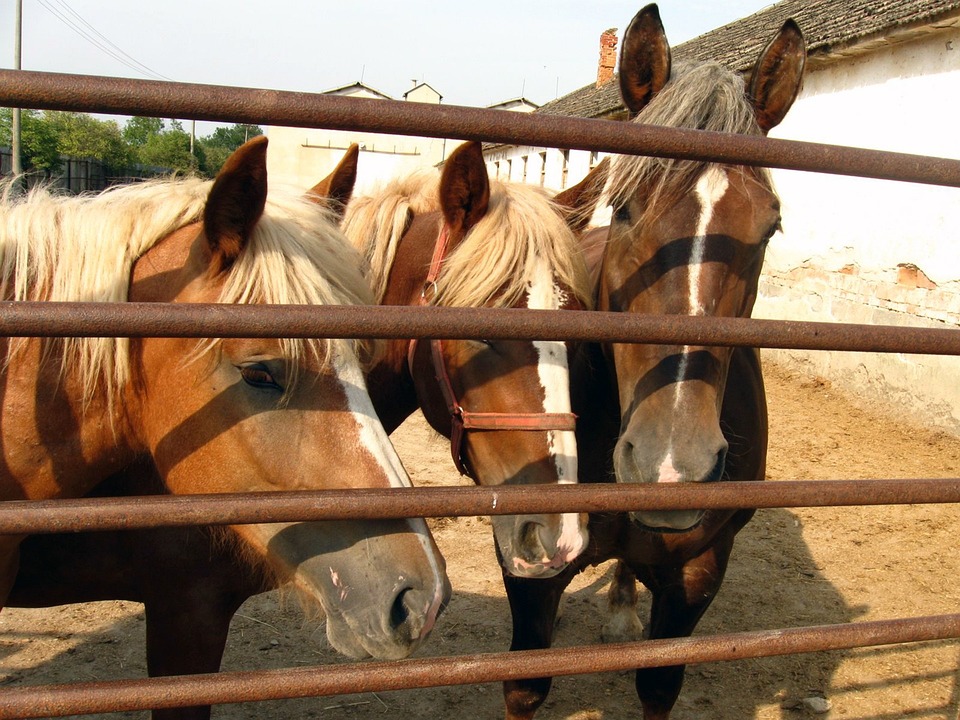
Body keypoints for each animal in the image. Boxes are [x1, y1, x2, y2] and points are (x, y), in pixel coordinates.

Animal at [500, 5, 806, 719]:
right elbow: (525, 685)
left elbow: (659, 683)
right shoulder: (531, 566)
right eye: (624, 206)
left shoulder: (698, 572)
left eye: (770, 227)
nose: (672, 466)